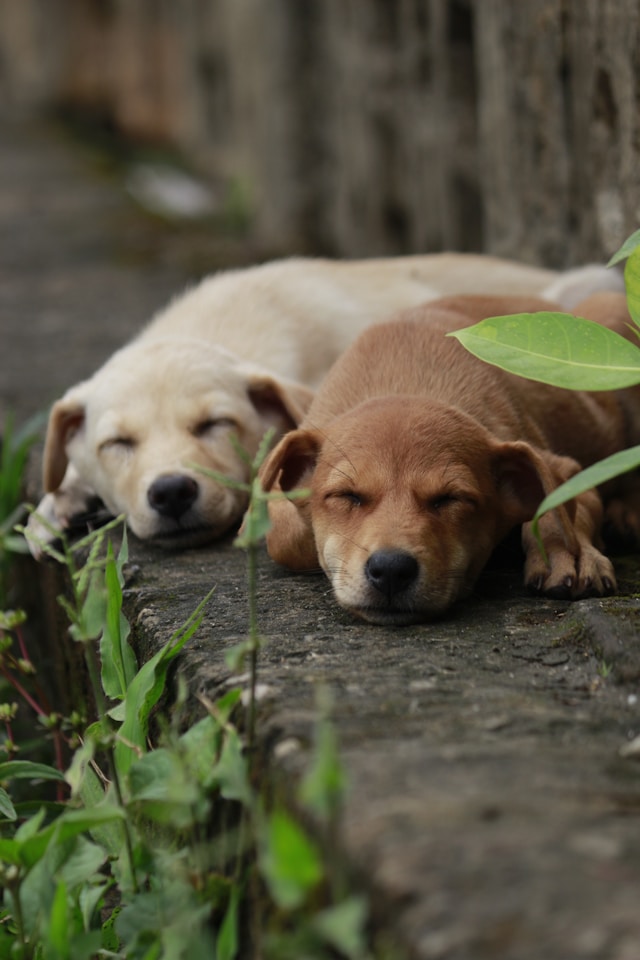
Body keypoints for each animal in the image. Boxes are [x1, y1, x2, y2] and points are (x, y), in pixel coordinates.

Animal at [260, 292, 640, 624]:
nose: (391, 570)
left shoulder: (570, 469)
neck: (406, 377)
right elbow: (287, 536)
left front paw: (572, 554)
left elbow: (559, 507)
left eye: (450, 498)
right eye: (346, 496)